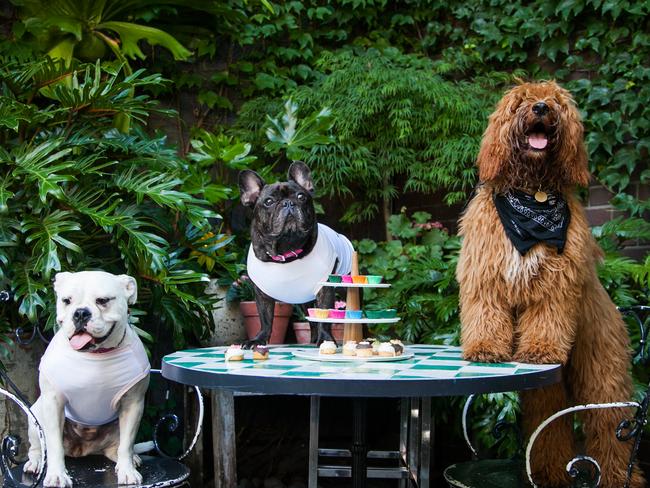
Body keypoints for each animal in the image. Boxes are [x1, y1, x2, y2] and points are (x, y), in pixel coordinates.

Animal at [456, 80, 644, 488]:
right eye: (520, 102)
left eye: (556, 101)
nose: (541, 107)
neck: (533, 194)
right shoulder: (486, 278)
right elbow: (486, 315)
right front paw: (485, 349)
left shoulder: (554, 287)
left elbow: (547, 320)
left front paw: (540, 350)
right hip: (549, 389)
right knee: (549, 427)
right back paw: (551, 472)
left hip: (602, 371)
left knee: (609, 425)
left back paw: (619, 475)